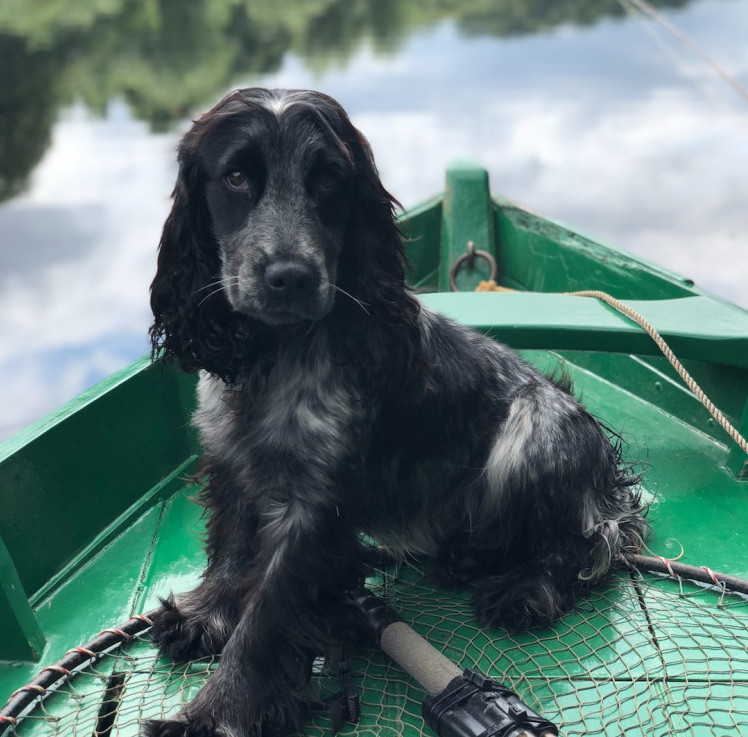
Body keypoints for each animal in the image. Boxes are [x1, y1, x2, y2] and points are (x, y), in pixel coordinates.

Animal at [145, 87, 644, 736]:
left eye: (329, 180)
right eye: (235, 177)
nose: (290, 277)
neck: (273, 356)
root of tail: (609, 473)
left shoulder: (314, 511)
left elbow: (263, 624)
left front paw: (212, 717)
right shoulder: (232, 461)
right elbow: (230, 551)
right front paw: (202, 618)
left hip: (531, 434)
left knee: (590, 543)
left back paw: (523, 590)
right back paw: (462, 557)